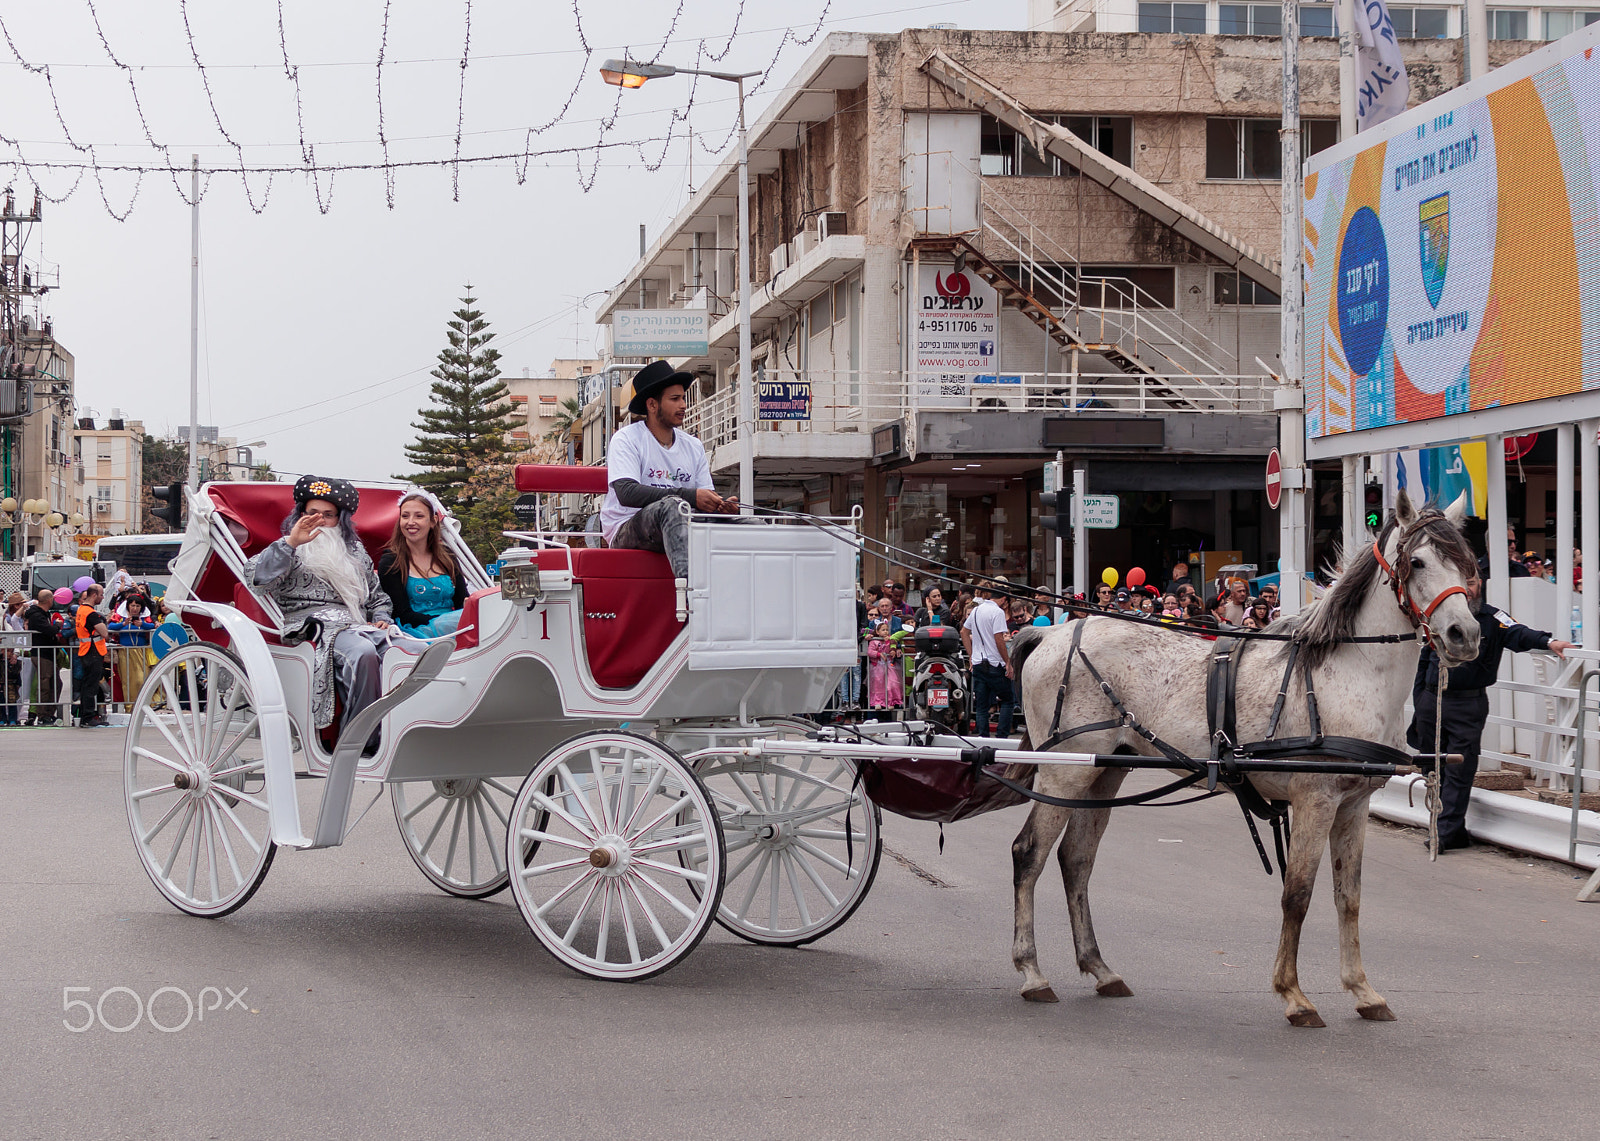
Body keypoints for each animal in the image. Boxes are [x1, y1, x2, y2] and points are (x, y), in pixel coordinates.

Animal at [1004, 489, 1478, 1024]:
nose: (1464, 634)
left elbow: (1349, 898)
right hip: (1064, 773)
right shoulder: (1315, 801)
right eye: (1417, 561)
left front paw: (1362, 989)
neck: (1346, 671)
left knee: (1076, 859)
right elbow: (1298, 894)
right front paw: (1293, 994)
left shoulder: (1353, 806)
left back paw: (1100, 968)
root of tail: (1051, 634)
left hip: (1105, 773)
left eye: (1467, 562)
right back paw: (1032, 971)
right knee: (1029, 854)